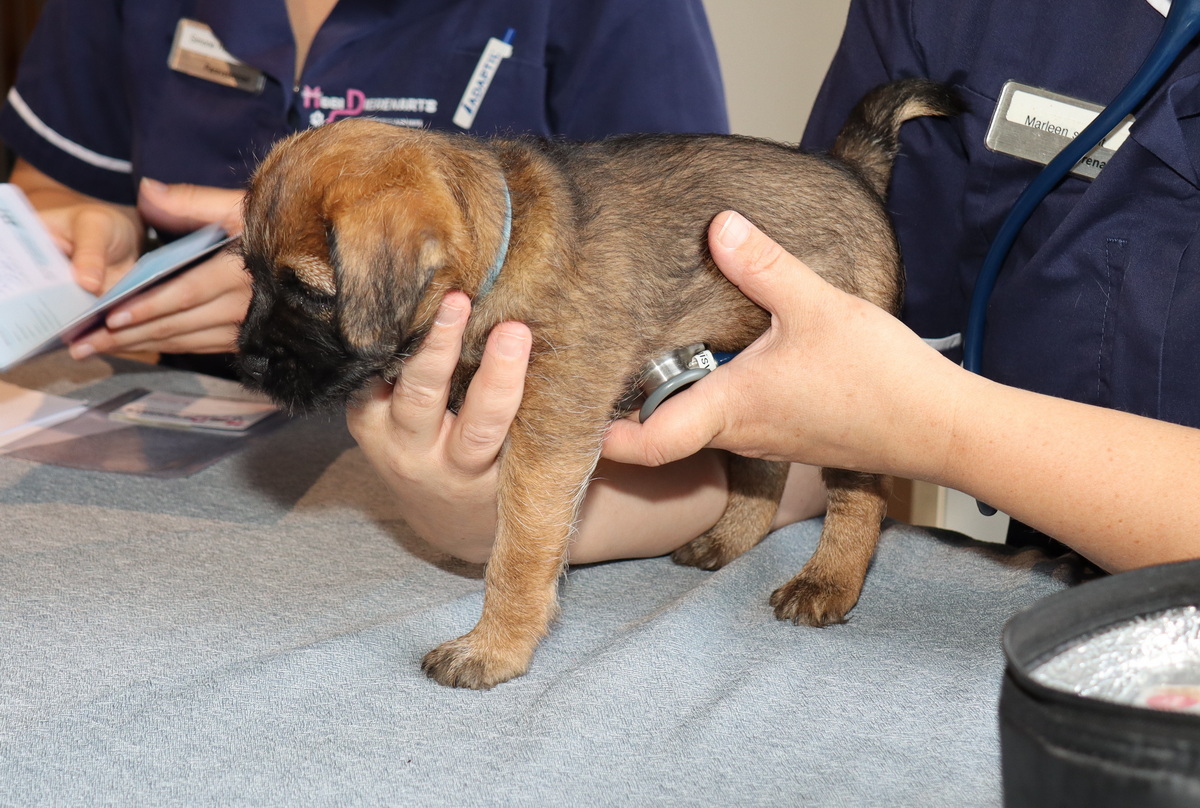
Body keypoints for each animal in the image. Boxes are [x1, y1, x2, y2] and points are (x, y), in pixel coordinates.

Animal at [237, 79, 960, 689]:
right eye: (250, 273)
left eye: (309, 293)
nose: (246, 363)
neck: (505, 247)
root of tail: (853, 169)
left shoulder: (546, 441)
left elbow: (519, 552)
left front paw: (494, 648)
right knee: (766, 466)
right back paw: (728, 538)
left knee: (859, 495)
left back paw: (828, 580)